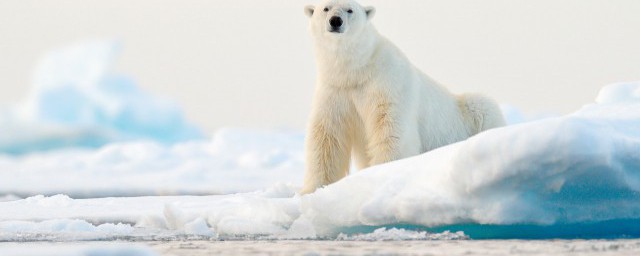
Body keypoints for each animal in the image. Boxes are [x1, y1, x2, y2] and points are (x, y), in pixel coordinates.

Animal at [300, 0, 504, 193]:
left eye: (350, 10)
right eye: (326, 8)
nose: (335, 21)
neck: (357, 70)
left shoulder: (387, 82)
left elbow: (390, 128)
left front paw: (383, 172)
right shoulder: (335, 90)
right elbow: (327, 136)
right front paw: (311, 189)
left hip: (470, 113)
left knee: (483, 107)